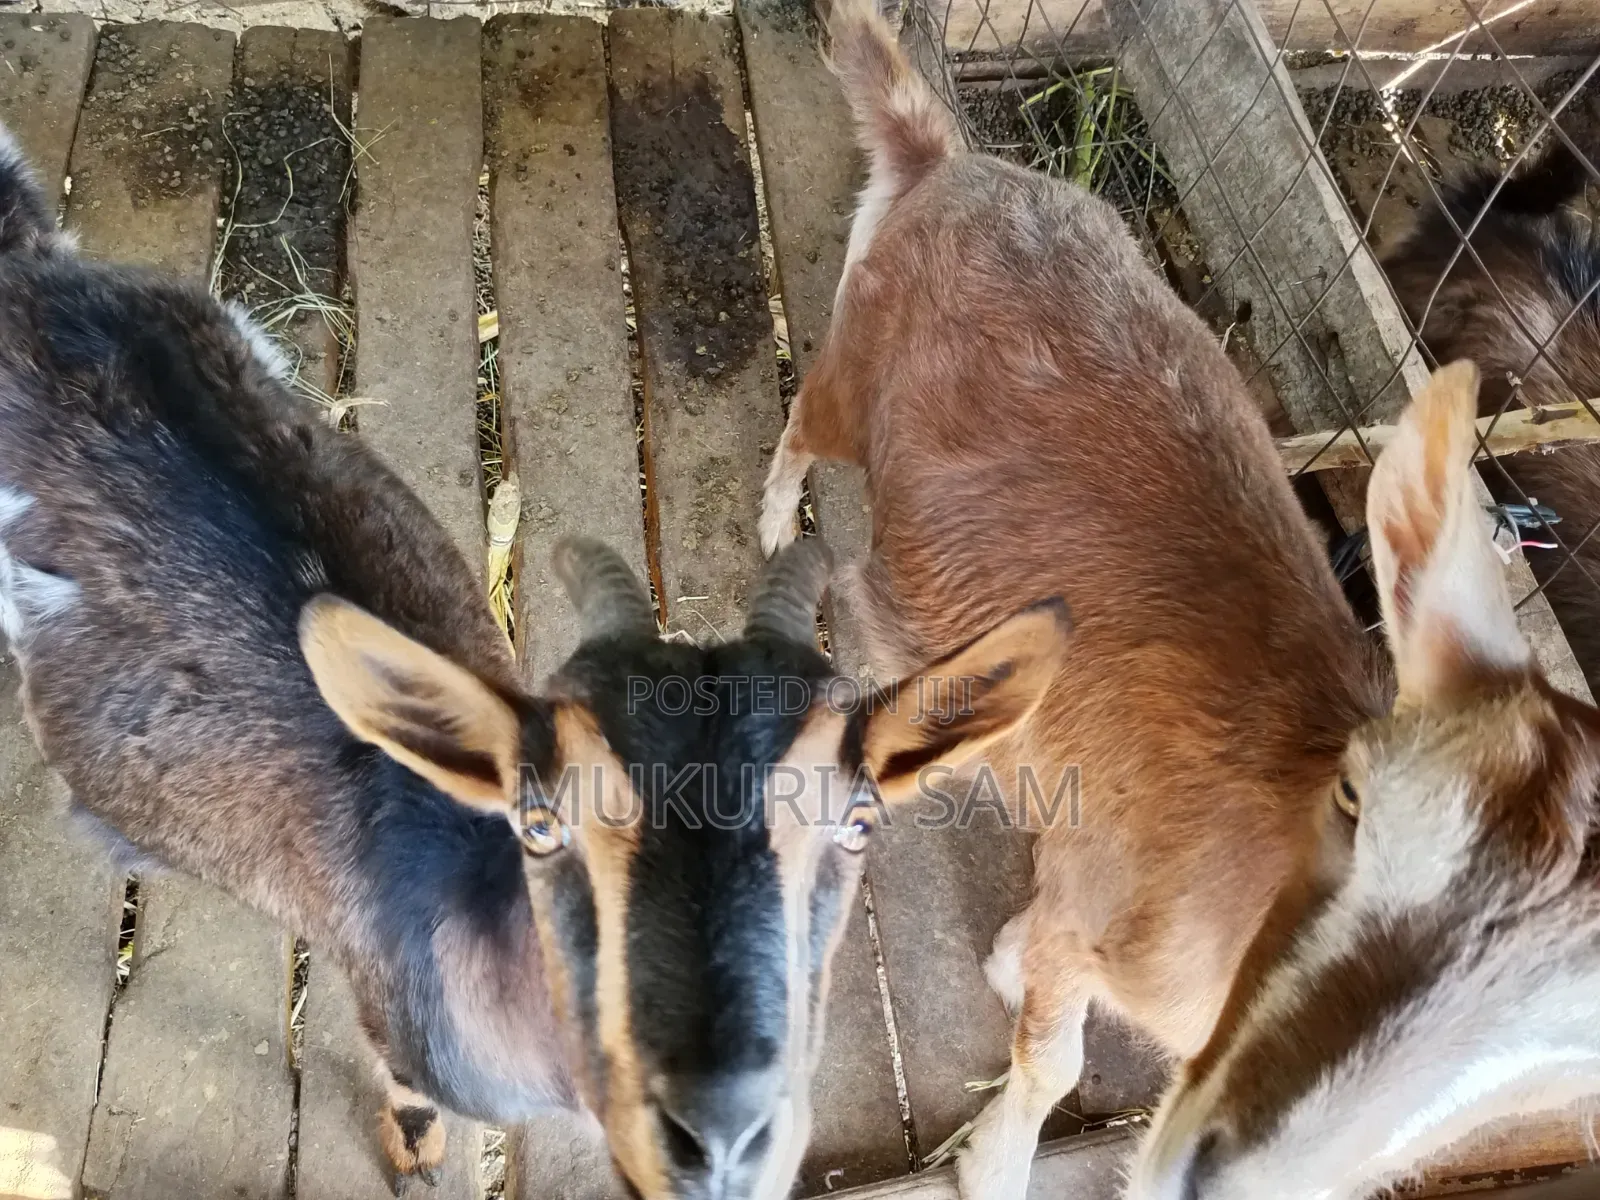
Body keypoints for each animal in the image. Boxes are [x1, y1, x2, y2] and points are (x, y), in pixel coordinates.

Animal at [0, 124, 1069, 1199]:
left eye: (857, 821)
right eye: (543, 824)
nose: (719, 1135)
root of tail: (29, 271)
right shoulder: (398, 1021)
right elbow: (408, 1091)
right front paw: (416, 1153)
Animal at [760, 6, 1600, 1198]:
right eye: (1359, 804)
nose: (1227, 1159)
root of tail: (951, 164)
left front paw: (1003, 962)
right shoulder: (1101, 899)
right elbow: (1055, 1057)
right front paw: (995, 1160)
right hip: (856, 360)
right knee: (803, 425)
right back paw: (775, 528)